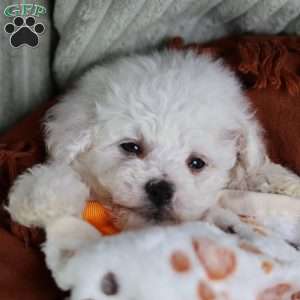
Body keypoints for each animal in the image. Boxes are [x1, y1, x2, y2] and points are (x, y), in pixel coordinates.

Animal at [6, 51, 300, 233]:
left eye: (197, 163)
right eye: (131, 147)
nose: (161, 189)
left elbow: (253, 171)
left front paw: (284, 183)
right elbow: (60, 178)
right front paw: (38, 201)